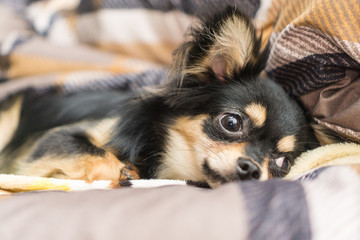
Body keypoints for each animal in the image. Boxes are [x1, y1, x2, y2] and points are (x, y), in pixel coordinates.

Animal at [0, 6, 312, 188]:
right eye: (231, 123)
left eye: (283, 163)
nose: (251, 170)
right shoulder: (51, 141)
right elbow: (95, 154)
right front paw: (123, 171)